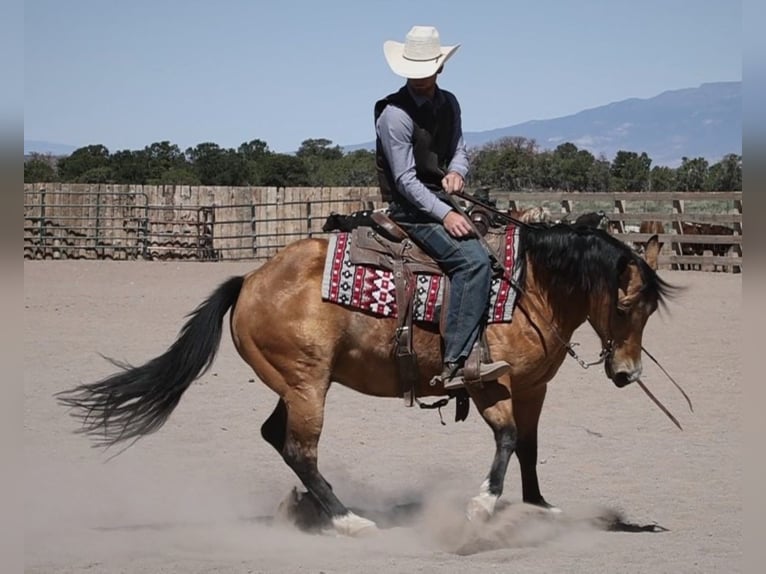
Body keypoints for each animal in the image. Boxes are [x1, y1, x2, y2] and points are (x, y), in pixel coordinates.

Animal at [58, 223, 672, 536]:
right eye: (623, 306)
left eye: (648, 311)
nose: (627, 373)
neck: (528, 287)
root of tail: (250, 279)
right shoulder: (485, 383)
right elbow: (505, 439)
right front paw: (481, 506)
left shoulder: (532, 389)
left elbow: (529, 447)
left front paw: (540, 507)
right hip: (307, 384)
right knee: (299, 448)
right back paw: (348, 519)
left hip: (295, 385)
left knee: (276, 438)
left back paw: (314, 509)